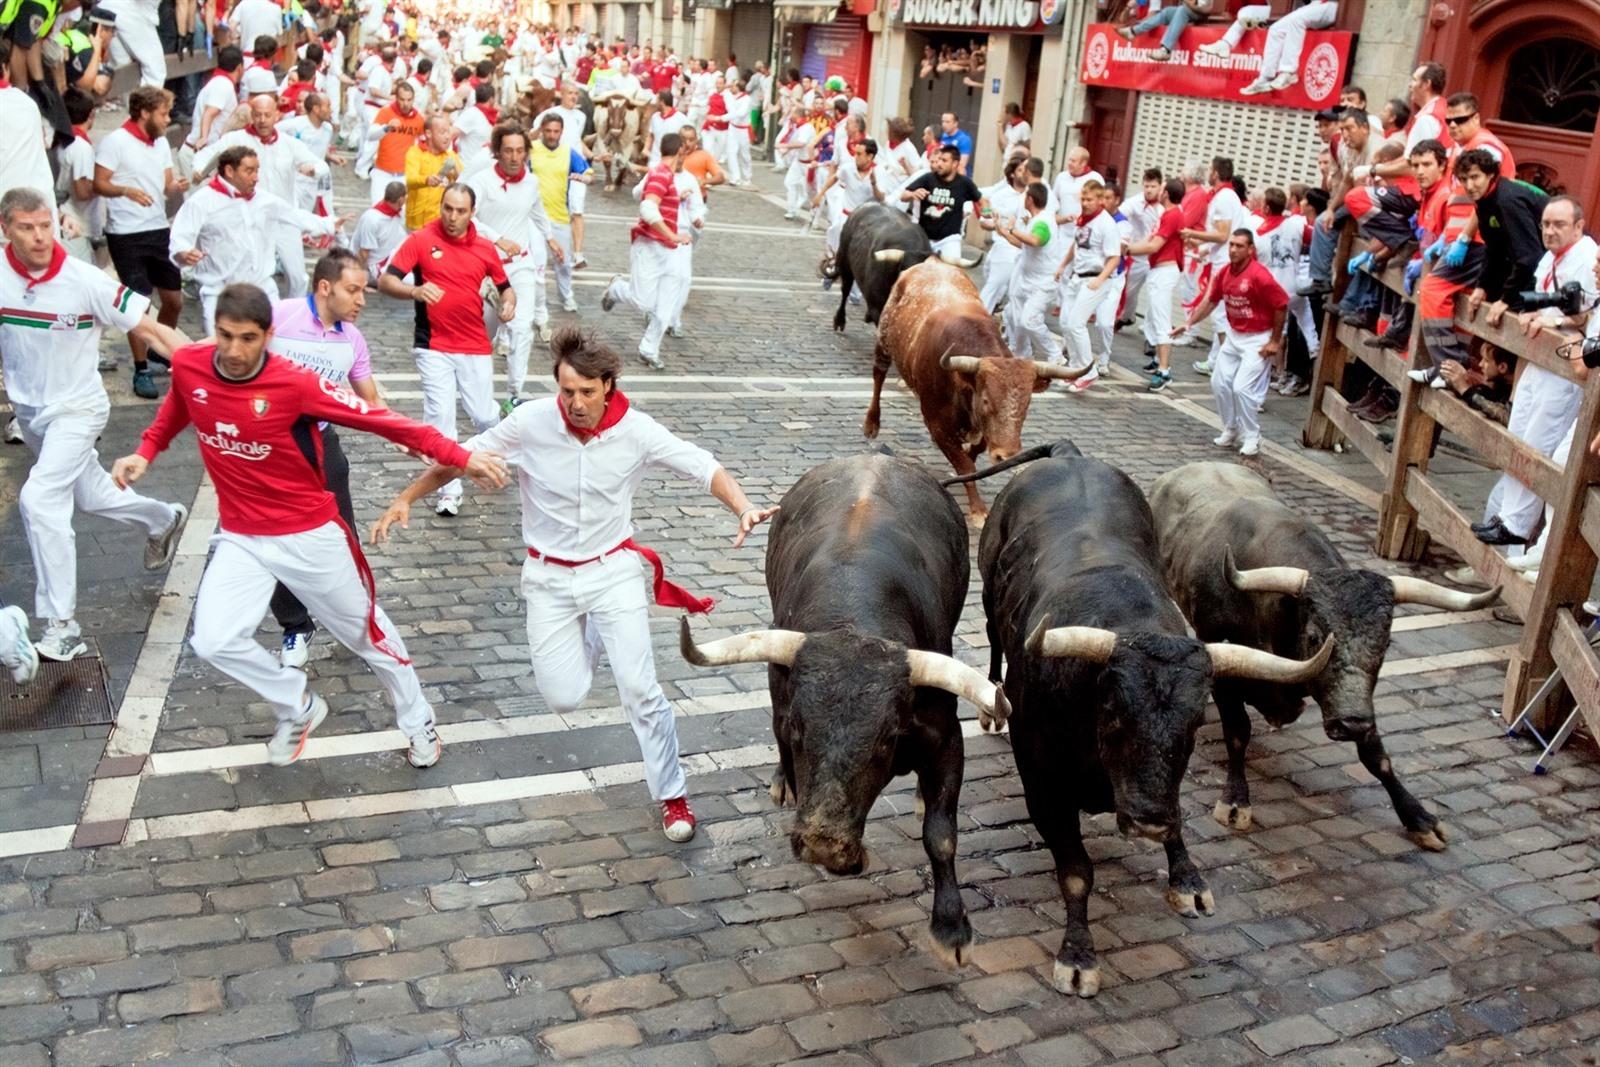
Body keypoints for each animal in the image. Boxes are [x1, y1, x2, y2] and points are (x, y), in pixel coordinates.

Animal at [678, 454, 1004, 972]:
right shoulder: (780, 708)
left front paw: (952, 928)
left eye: (888, 738)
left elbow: (941, 833)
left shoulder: (946, 735)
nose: (823, 844)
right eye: (797, 728)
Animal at [864, 260, 1088, 524]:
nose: (1007, 456)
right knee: (878, 375)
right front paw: (978, 509)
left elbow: (973, 454)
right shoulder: (936, 423)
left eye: (1026, 404)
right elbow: (965, 466)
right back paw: (872, 423)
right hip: (884, 340)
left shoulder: (982, 432)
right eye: (986, 400)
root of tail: (932, 262)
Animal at [953, 441, 1331, 991]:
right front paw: (1078, 956)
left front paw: (1187, 878)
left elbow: (1179, 821)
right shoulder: (1043, 787)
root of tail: (1068, 454)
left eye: (1194, 724)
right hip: (985, 593)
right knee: (992, 636)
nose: (1148, 820)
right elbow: (1077, 872)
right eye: (1113, 714)